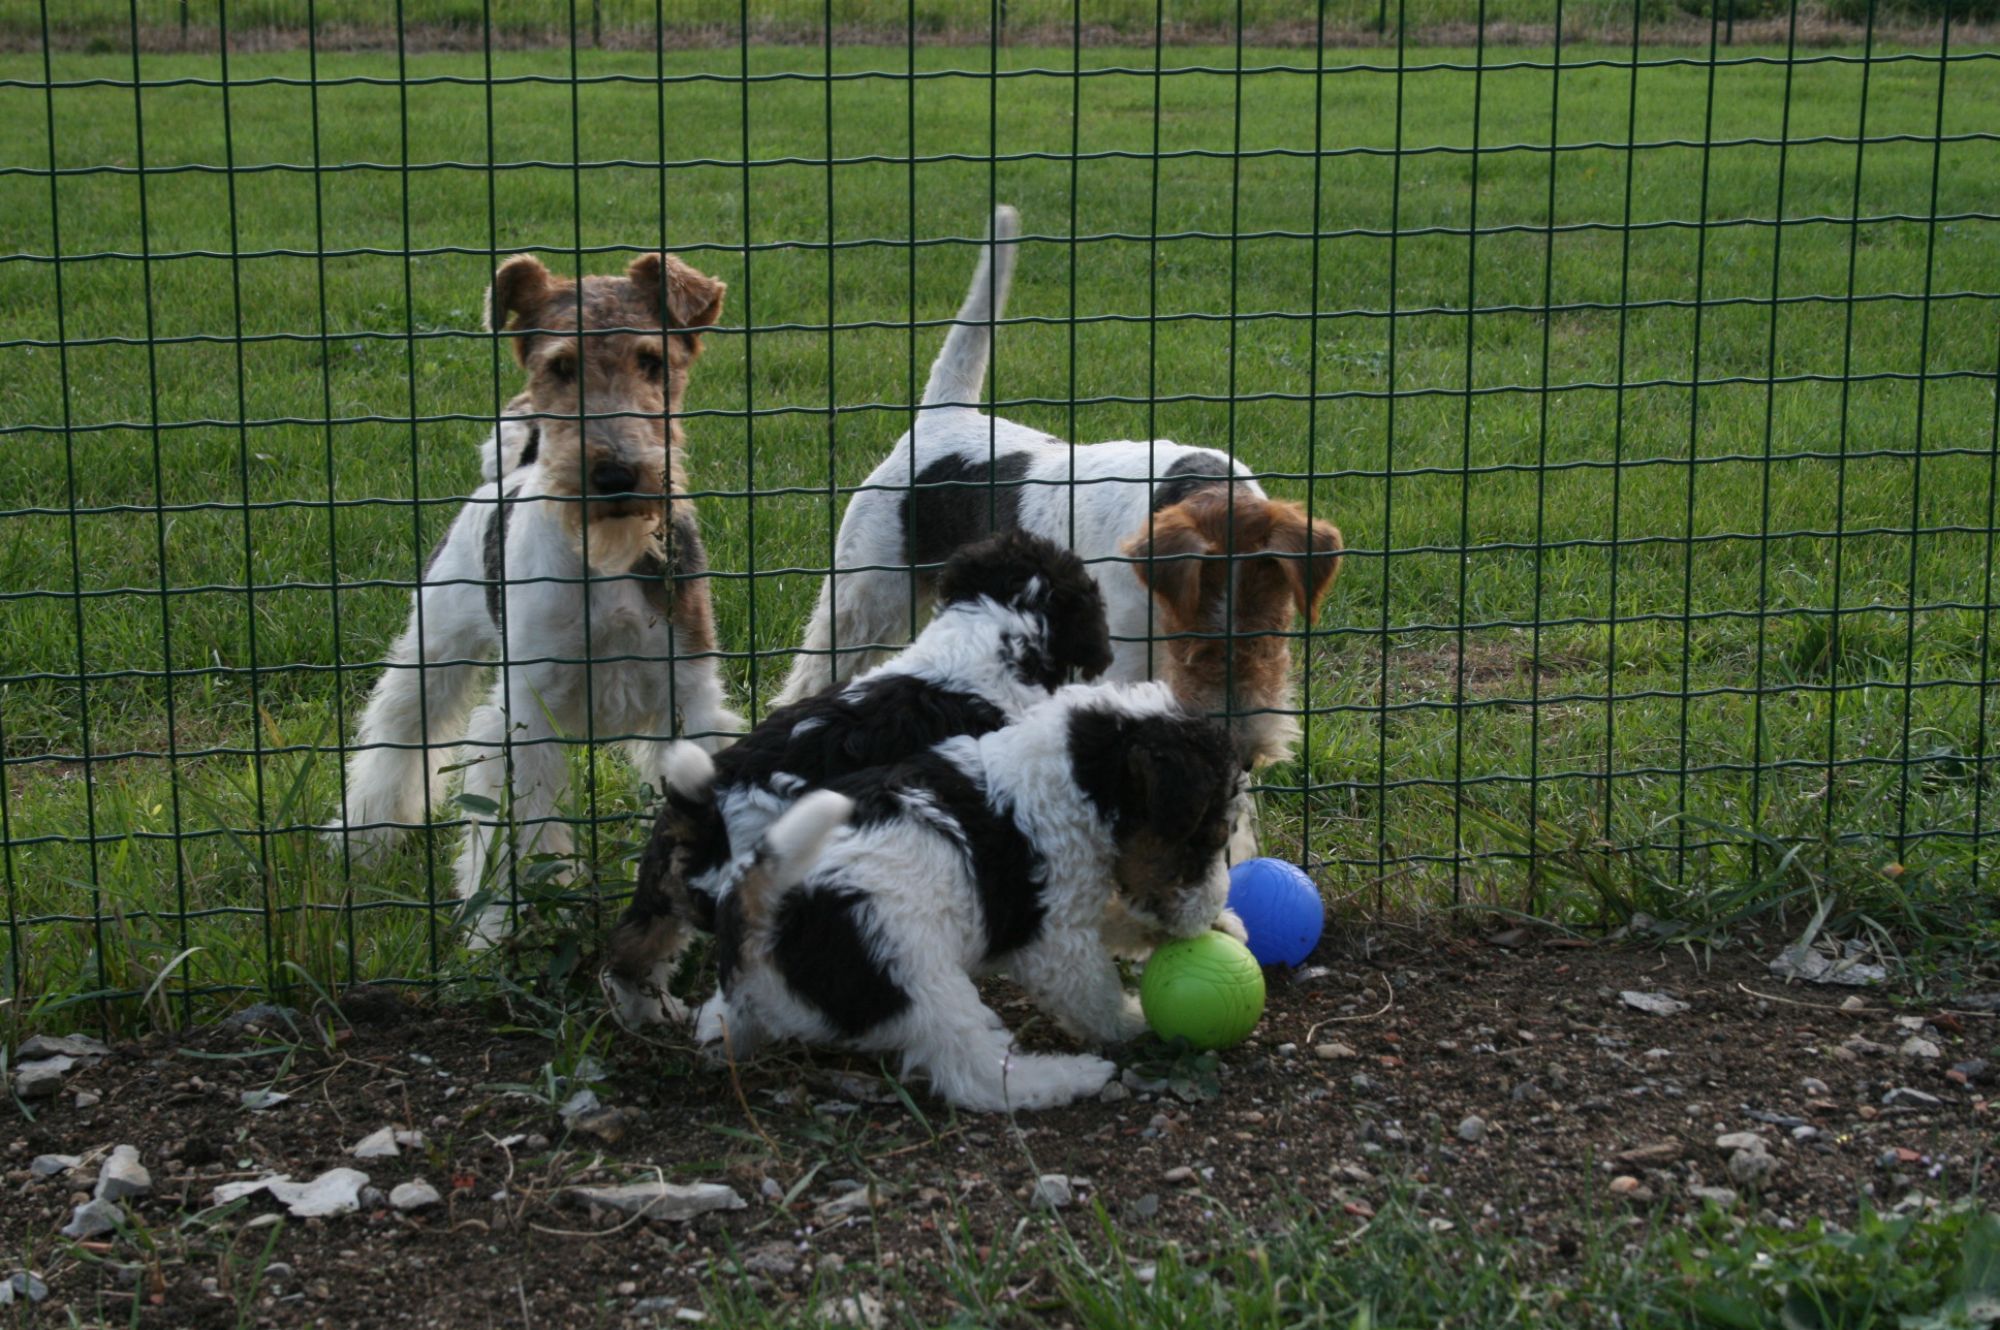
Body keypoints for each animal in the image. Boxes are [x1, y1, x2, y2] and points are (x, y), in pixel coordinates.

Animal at [330, 250, 744, 945]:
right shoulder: (525, 712)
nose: (616, 475)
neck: (606, 556)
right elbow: (516, 834)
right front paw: (499, 929)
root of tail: (518, 467)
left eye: (652, 362)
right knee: (395, 735)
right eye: (560, 367)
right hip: (434, 647)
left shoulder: (685, 694)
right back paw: (361, 838)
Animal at [691, 680, 1243, 1112]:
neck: (1073, 772)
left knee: (718, 1019)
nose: (1207, 914)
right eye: (1211, 836)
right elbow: (1094, 992)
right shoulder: (1053, 937)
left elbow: (1116, 914)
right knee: (977, 1075)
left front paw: (1217, 925)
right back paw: (1068, 1077)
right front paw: (1134, 1018)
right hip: (920, 977)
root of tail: (761, 909)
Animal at [771, 206, 1344, 786]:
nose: (1245, 754)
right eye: (1190, 636)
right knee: (810, 678)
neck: (1188, 487)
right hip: (865, 594)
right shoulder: (1124, 663)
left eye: (1273, 631)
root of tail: (944, 416)